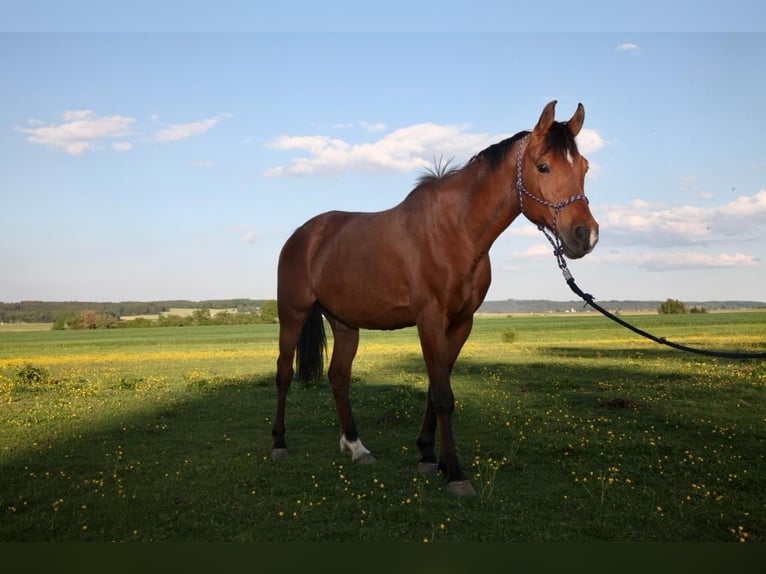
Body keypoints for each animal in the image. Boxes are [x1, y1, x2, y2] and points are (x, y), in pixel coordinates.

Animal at [271, 101, 599, 495]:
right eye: (543, 166)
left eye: (584, 167)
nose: (585, 235)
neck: (455, 230)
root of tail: (303, 234)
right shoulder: (429, 320)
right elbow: (442, 394)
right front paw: (454, 471)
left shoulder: (460, 323)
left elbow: (434, 388)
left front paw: (429, 456)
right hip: (292, 315)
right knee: (283, 373)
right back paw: (279, 443)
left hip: (345, 324)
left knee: (338, 377)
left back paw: (356, 447)